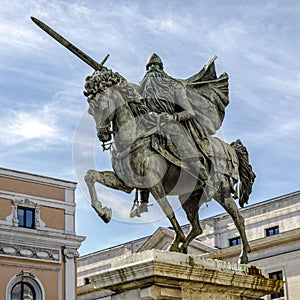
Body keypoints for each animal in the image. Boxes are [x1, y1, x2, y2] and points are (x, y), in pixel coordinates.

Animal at [84, 69, 255, 264]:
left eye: (103, 105)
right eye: (91, 110)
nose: (102, 135)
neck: (133, 136)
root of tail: (230, 148)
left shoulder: (153, 182)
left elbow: (168, 211)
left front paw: (177, 238)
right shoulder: (125, 182)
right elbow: (90, 175)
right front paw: (104, 212)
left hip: (222, 192)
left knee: (238, 218)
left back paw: (243, 256)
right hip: (189, 197)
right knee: (197, 227)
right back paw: (182, 248)